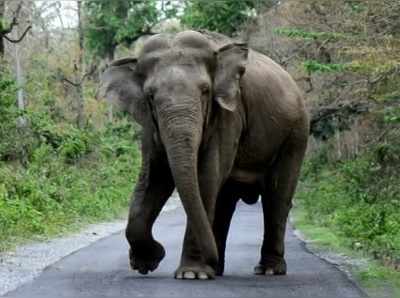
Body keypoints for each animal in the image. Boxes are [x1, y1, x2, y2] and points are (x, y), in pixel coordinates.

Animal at [99, 30, 310, 280]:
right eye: (150, 96)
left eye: (205, 91)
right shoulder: (151, 125)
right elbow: (154, 178)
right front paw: (147, 262)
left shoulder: (229, 114)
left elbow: (206, 177)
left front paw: (191, 274)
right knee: (225, 201)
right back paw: (217, 268)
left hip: (295, 134)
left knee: (277, 197)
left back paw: (268, 270)